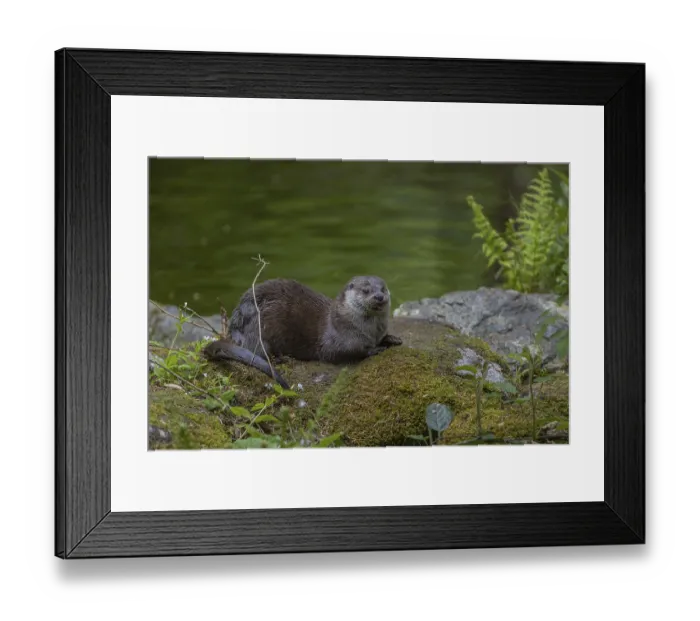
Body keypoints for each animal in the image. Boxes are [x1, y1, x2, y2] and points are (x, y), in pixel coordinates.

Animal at [203, 276, 403, 387]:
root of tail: (236, 328)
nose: (379, 296)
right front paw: (374, 349)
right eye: (366, 290)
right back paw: (280, 358)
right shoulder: (337, 339)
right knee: (258, 351)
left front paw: (391, 338)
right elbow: (348, 350)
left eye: (383, 288)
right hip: (261, 328)